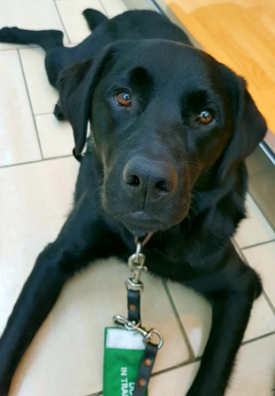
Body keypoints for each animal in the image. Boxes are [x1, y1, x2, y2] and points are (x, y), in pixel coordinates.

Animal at [0, 6, 268, 396]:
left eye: (206, 116)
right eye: (124, 97)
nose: (148, 182)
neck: (143, 239)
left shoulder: (241, 285)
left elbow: (212, 374)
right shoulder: (55, 257)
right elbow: (13, 337)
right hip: (64, 63)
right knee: (54, 41)